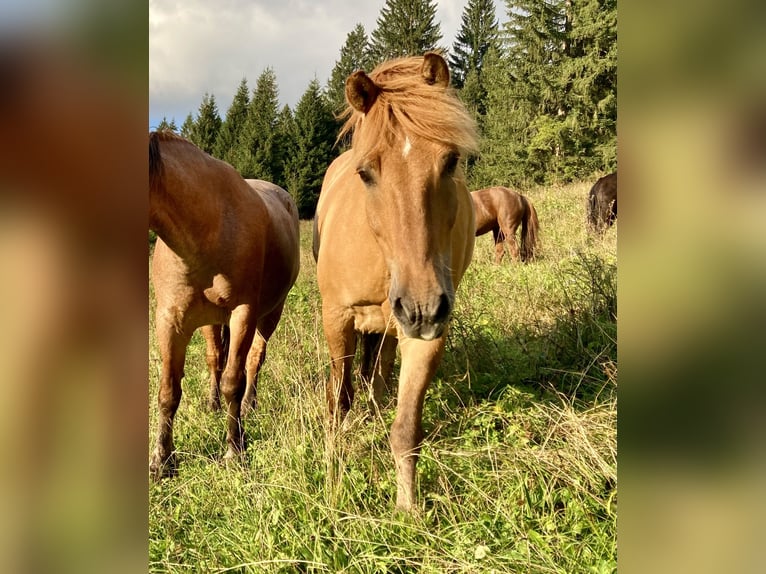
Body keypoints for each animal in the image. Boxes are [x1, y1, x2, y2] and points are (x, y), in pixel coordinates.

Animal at [149, 130, 300, 478]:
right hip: (209, 321)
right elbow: (168, 391)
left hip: (270, 313)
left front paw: (234, 449)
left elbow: (235, 380)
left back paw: (248, 405)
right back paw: (213, 404)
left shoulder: (243, 314)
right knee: (215, 358)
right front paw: (162, 460)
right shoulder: (170, 320)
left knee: (254, 360)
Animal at [313, 52, 479, 511]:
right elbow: (339, 400)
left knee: (380, 372)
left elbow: (405, 429)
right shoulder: (337, 318)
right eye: (366, 173)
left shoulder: (428, 332)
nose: (421, 306)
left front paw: (407, 509)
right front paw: (333, 471)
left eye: (451, 160)